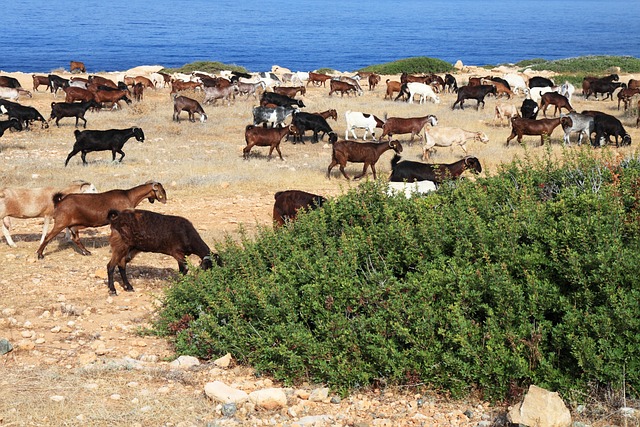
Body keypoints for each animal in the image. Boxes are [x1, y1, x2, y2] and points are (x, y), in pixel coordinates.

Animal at [36, 181, 168, 260]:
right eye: (162, 189)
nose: (165, 200)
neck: (129, 196)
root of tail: (59, 202)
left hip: (72, 224)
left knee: (76, 239)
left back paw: (86, 252)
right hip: (61, 222)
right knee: (48, 237)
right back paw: (40, 254)